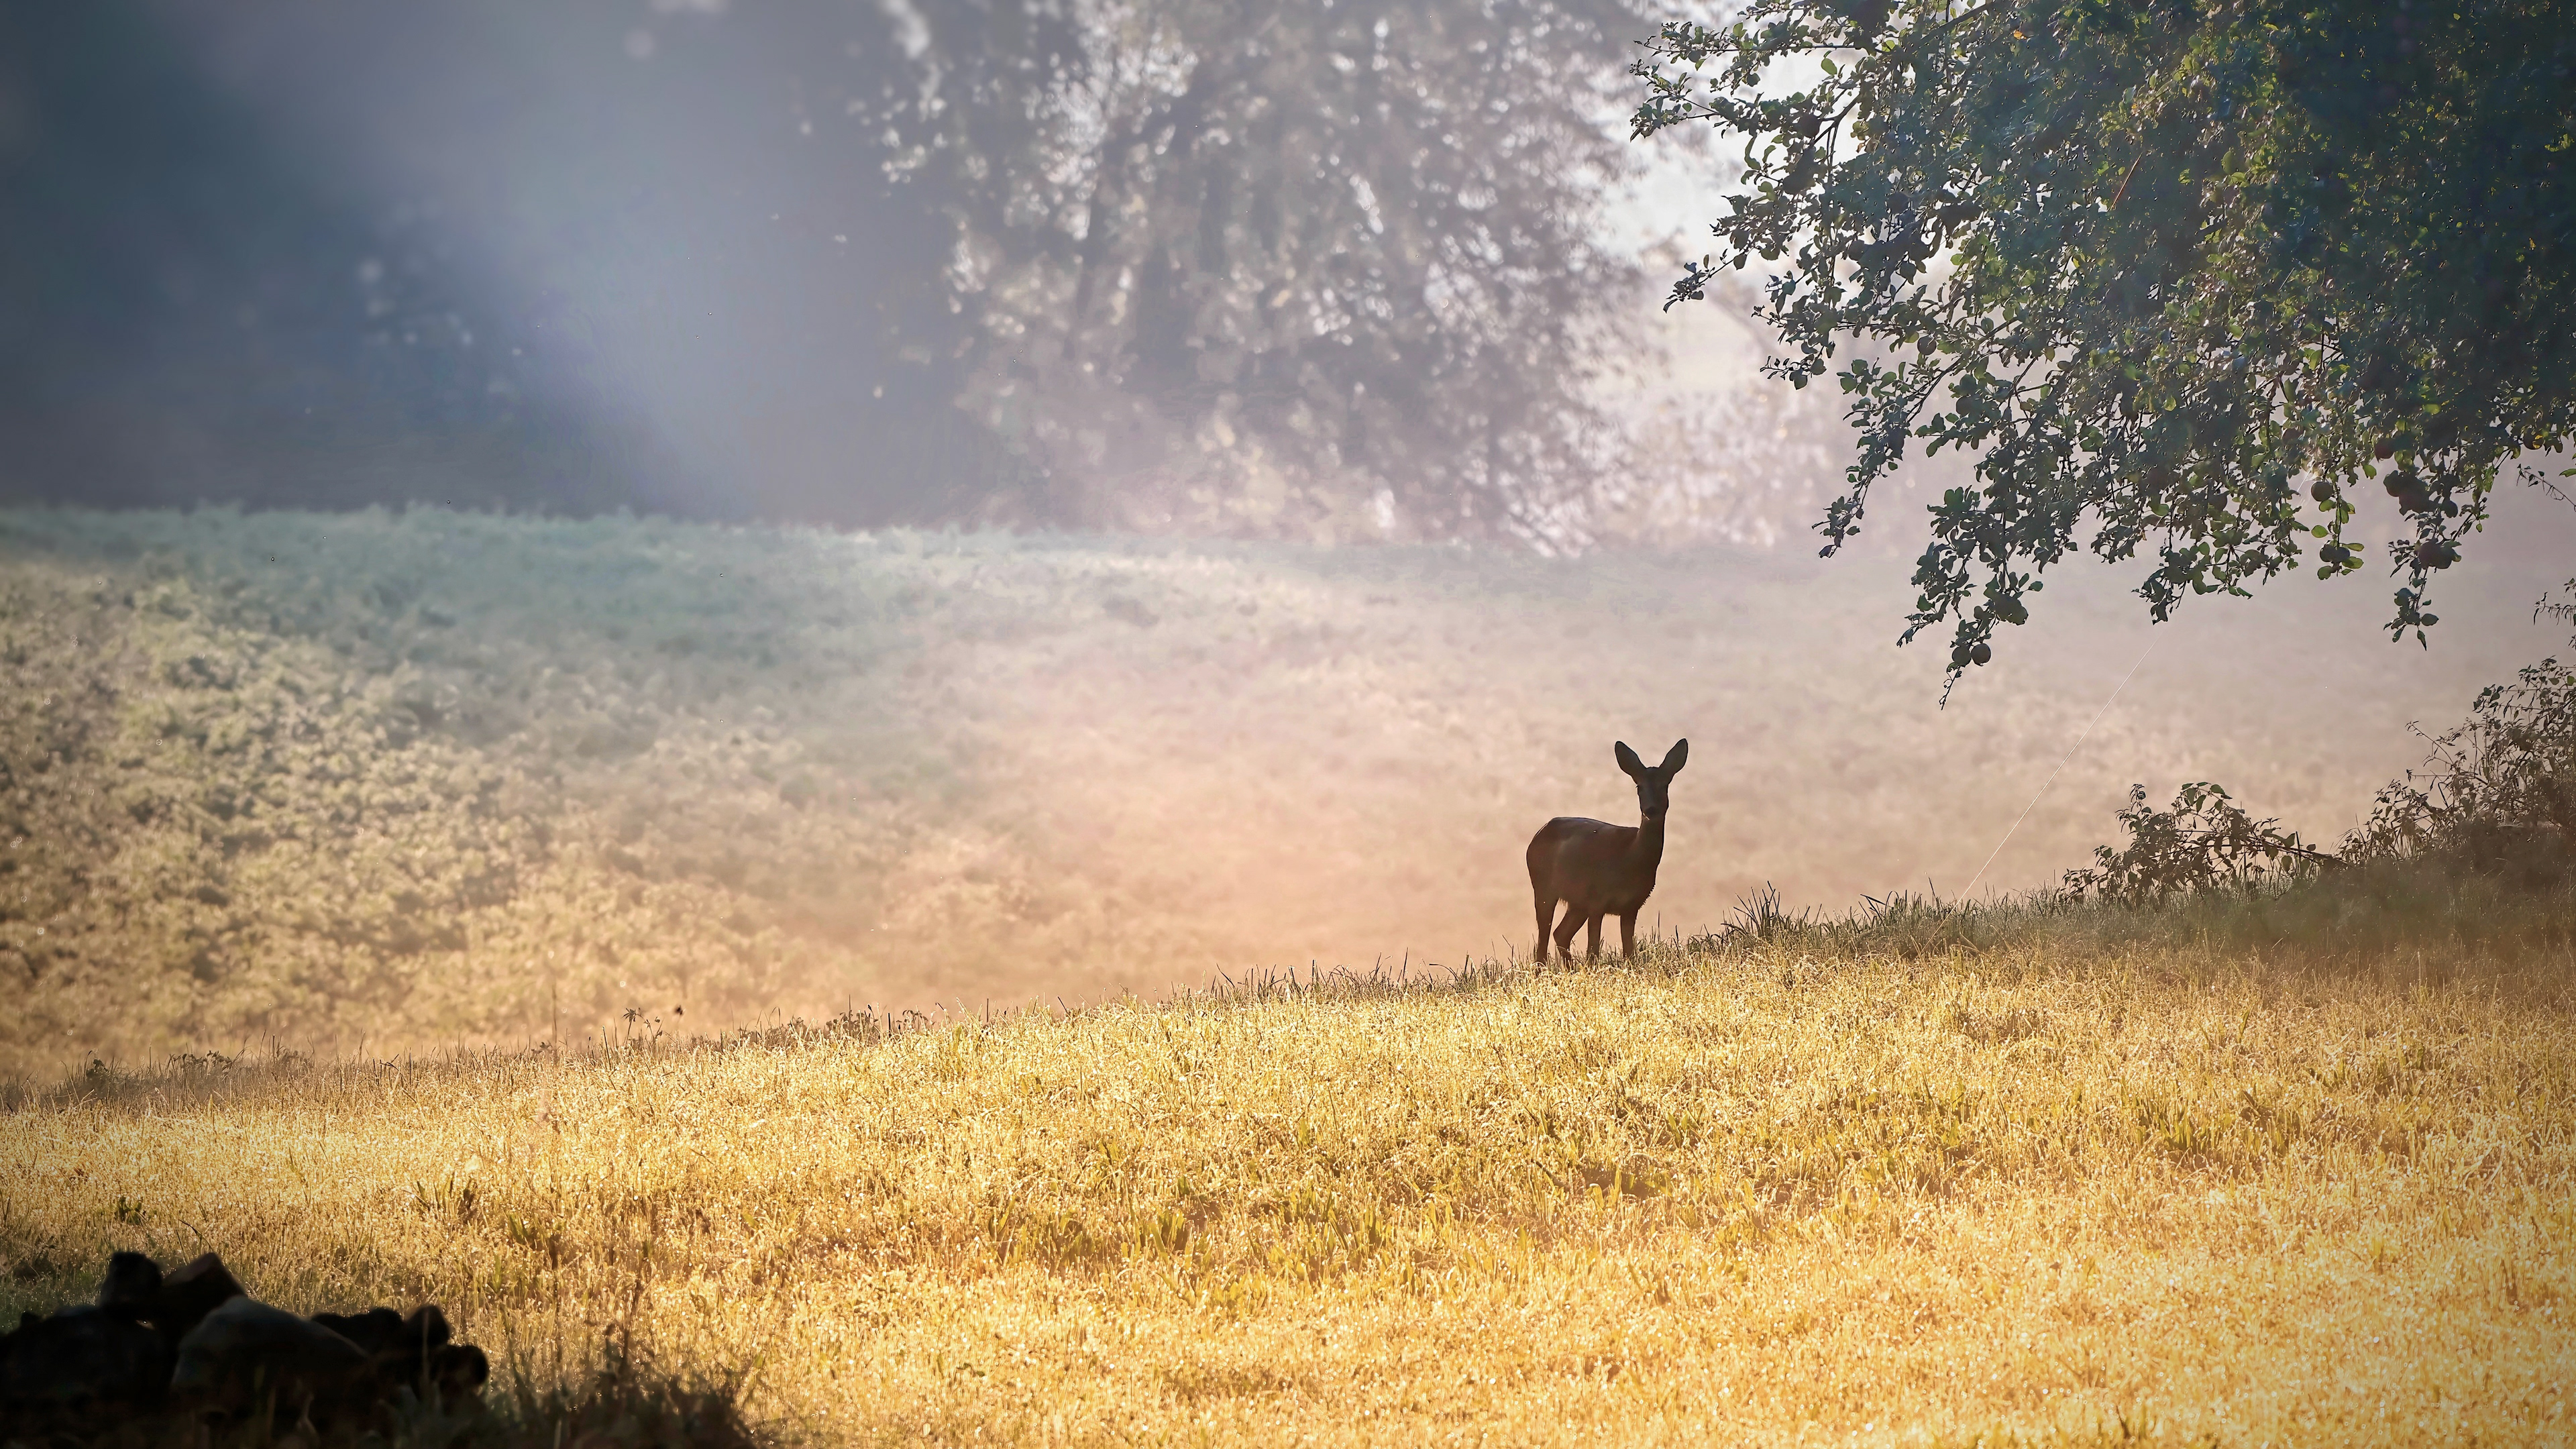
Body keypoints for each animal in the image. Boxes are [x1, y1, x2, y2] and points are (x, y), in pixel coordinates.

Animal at [1527, 739, 1688, 963]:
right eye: (1639, 786)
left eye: (1665, 784)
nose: (1651, 810)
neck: (1631, 857)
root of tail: (1538, 834)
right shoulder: (1597, 900)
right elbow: (1593, 950)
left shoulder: (1632, 905)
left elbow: (1629, 952)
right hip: (1543, 886)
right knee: (1544, 938)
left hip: (1577, 902)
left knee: (1560, 933)